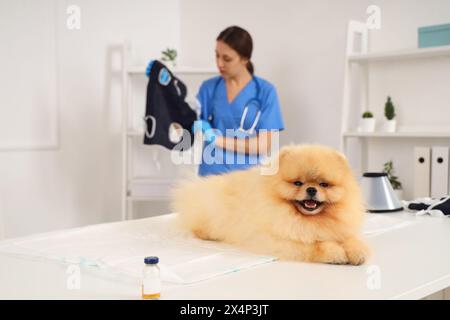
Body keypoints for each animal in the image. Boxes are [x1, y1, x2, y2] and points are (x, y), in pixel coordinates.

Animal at [171, 145, 370, 264]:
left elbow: (350, 239)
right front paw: (334, 253)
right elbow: (315, 245)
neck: (310, 220)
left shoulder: (340, 229)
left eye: (324, 184)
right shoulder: (281, 239)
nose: (311, 189)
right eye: (297, 183)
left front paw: (357, 251)